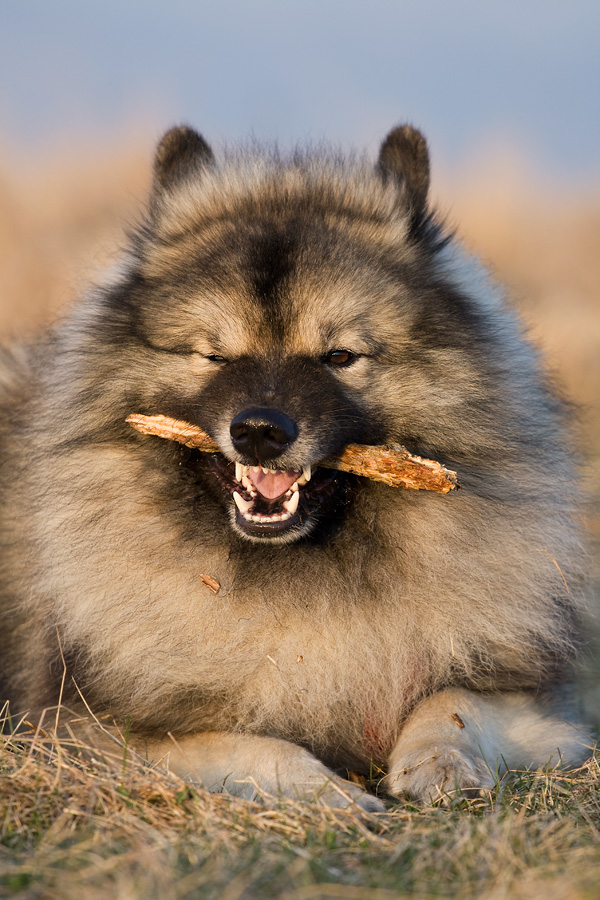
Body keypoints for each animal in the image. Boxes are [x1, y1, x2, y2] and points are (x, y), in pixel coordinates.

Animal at [0, 126, 592, 808]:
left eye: (339, 356)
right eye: (214, 355)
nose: (259, 431)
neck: (300, 576)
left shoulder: (540, 706)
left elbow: (455, 702)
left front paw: (439, 764)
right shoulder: (84, 732)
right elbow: (251, 746)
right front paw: (332, 794)